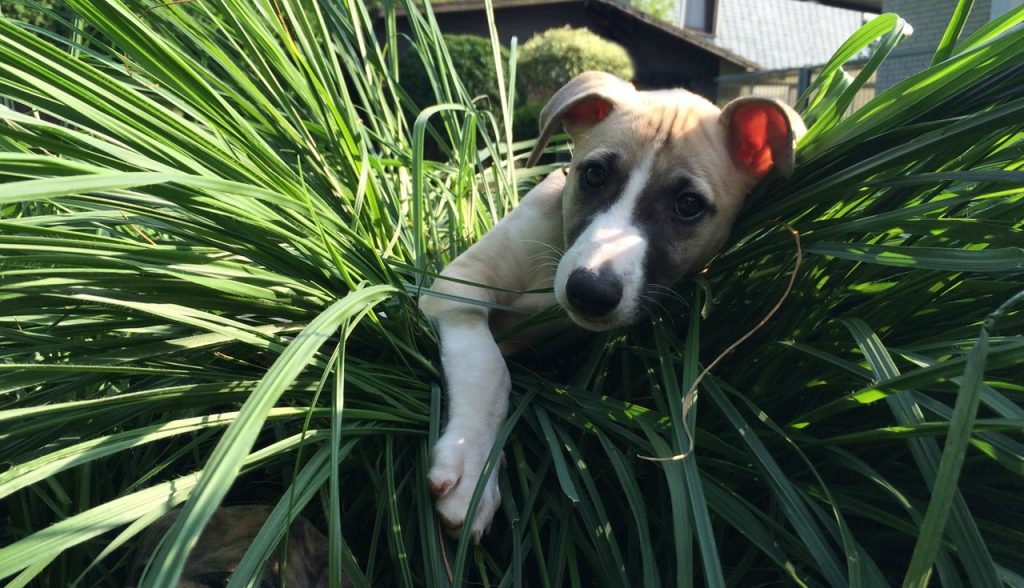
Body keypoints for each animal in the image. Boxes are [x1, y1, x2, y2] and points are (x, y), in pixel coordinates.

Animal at [419, 71, 805, 541]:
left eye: (688, 205)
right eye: (595, 174)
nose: (589, 290)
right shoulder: (457, 288)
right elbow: (490, 371)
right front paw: (473, 470)